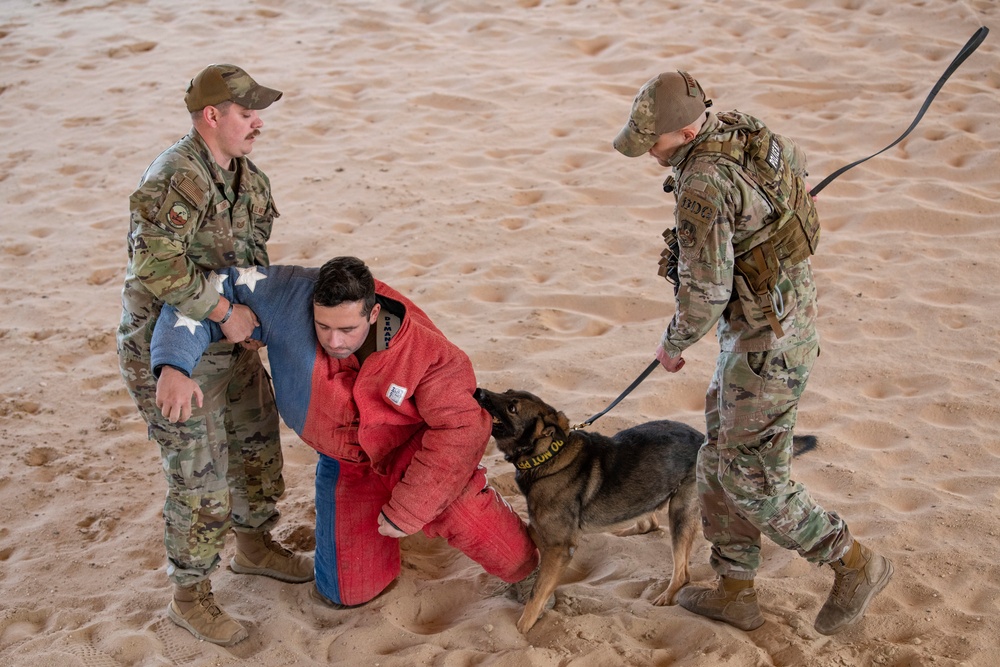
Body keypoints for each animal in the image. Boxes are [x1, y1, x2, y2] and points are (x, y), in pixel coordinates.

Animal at [474, 386, 704, 632]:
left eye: (512, 408)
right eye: (507, 391)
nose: (478, 391)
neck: (547, 455)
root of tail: (702, 437)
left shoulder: (560, 547)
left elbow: (537, 592)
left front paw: (522, 628)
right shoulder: (547, 536)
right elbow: (531, 538)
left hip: (680, 512)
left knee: (683, 573)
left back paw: (667, 594)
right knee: (648, 521)